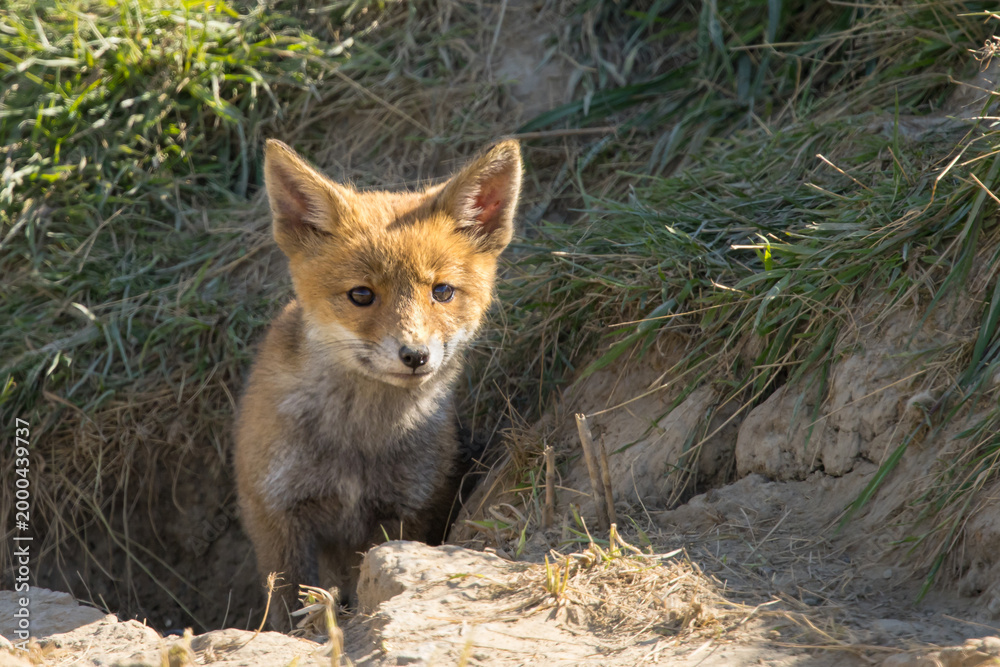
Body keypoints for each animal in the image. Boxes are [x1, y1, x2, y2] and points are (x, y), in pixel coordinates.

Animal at [233, 138, 521, 631]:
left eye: (442, 291)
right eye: (362, 295)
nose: (416, 356)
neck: (357, 442)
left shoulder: (407, 510)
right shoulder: (275, 513)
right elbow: (287, 606)